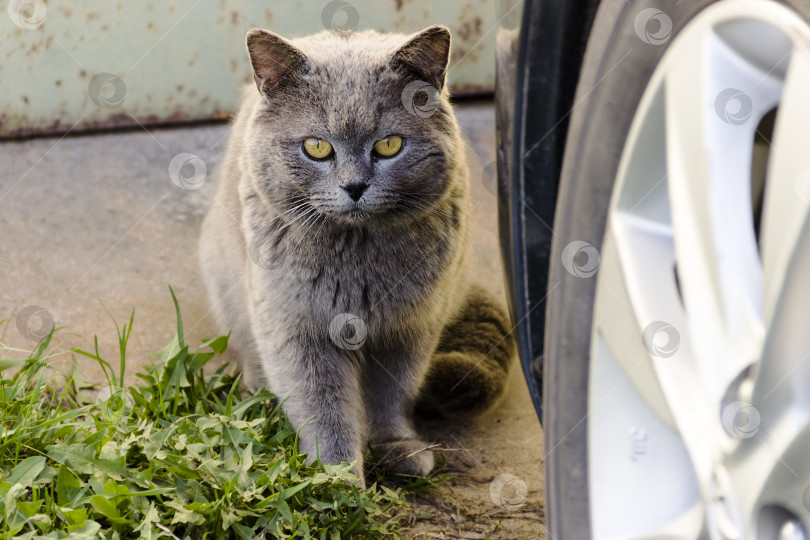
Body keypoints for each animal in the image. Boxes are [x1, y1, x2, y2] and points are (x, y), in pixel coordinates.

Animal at [197, 25, 512, 484]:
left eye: (389, 144)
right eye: (316, 147)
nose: (355, 186)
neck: (357, 257)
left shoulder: (409, 328)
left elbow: (392, 393)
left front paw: (397, 447)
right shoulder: (299, 329)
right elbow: (324, 407)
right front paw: (338, 478)